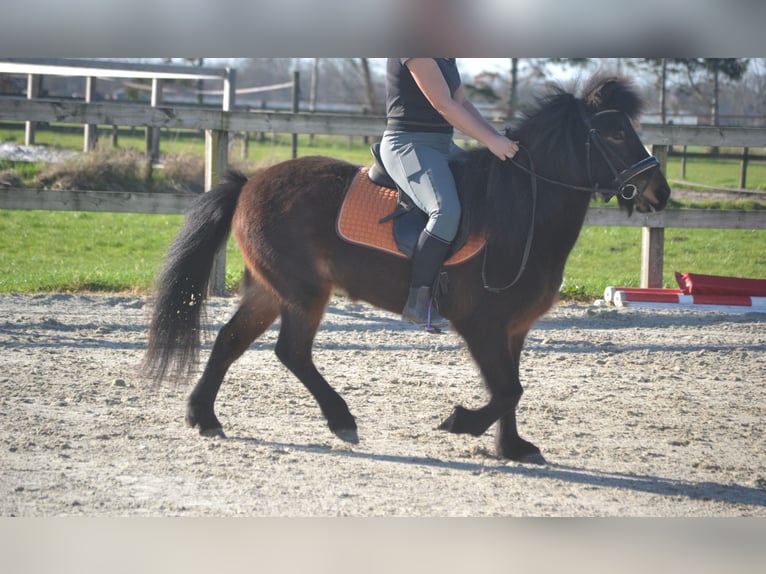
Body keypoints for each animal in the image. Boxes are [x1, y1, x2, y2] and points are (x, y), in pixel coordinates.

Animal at [143, 74, 670, 464]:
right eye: (615, 132)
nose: (660, 192)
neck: (521, 209)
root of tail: (250, 182)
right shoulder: (481, 323)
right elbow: (507, 389)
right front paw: (461, 422)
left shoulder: (514, 328)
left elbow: (512, 389)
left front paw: (513, 448)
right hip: (304, 291)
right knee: (291, 351)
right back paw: (342, 420)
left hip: (270, 290)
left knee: (230, 341)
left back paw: (204, 417)